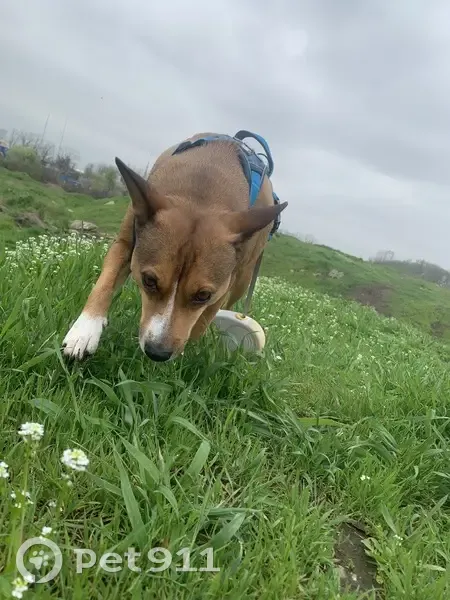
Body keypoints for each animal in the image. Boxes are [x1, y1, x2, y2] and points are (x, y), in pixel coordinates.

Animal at [62, 131, 287, 362]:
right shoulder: (126, 242)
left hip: (244, 277)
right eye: (149, 280)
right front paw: (85, 331)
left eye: (203, 295)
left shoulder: (222, 287)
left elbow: (201, 321)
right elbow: (104, 283)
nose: (157, 352)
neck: (200, 192)